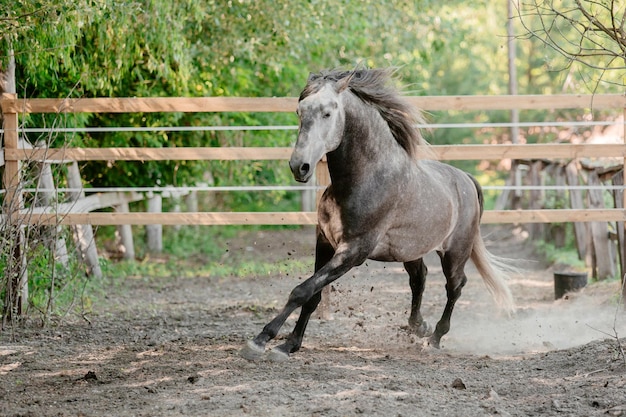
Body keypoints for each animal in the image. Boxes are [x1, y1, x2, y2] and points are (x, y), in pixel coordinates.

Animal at [239, 68, 512, 360]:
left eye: (327, 113)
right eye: (299, 112)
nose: (299, 166)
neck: (364, 180)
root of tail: (467, 179)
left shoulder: (353, 252)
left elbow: (302, 290)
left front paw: (261, 340)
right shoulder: (324, 242)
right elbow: (313, 295)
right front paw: (289, 345)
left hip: (455, 252)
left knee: (455, 286)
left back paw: (435, 338)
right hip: (410, 251)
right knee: (420, 279)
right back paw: (419, 326)